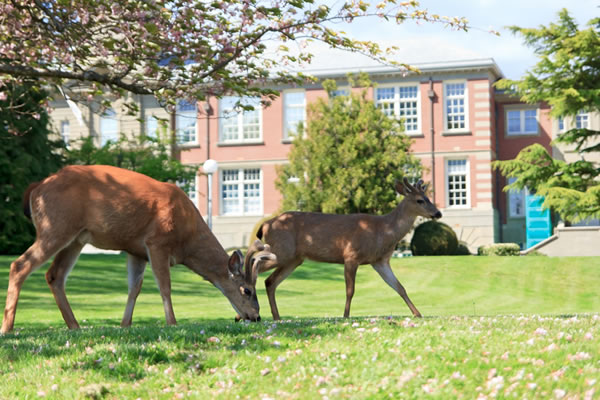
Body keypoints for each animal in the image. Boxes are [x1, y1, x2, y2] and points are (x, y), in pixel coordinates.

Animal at [1, 164, 274, 332]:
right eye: (248, 290)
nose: (256, 316)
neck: (187, 241)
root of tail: (36, 188)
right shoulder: (157, 241)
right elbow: (165, 286)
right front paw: (172, 322)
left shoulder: (136, 251)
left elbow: (135, 288)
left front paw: (125, 324)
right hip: (56, 226)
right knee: (19, 265)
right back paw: (8, 327)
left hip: (76, 238)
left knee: (54, 275)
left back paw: (75, 326)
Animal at [256, 178, 440, 318]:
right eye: (420, 200)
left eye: (428, 197)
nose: (438, 213)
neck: (382, 231)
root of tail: (266, 224)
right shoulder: (351, 255)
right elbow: (350, 290)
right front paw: (345, 316)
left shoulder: (380, 261)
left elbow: (400, 287)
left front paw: (418, 314)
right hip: (282, 251)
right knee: (255, 264)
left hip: (294, 259)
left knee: (270, 281)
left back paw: (275, 316)